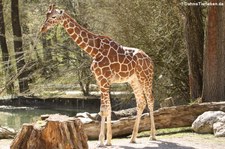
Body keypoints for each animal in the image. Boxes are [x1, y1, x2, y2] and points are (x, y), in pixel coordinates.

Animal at [40, 4, 156, 147]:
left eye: (54, 17)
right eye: (46, 15)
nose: (42, 28)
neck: (94, 50)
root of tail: (150, 60)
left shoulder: (104, 80)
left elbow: (105, 109)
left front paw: (102, 141)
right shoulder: (100, 80)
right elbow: (105, 109)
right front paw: (108, 140)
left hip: (145, 77)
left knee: (150, 100)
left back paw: (152, 136)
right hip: (133, 80)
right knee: (141, 102)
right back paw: (133, 138)